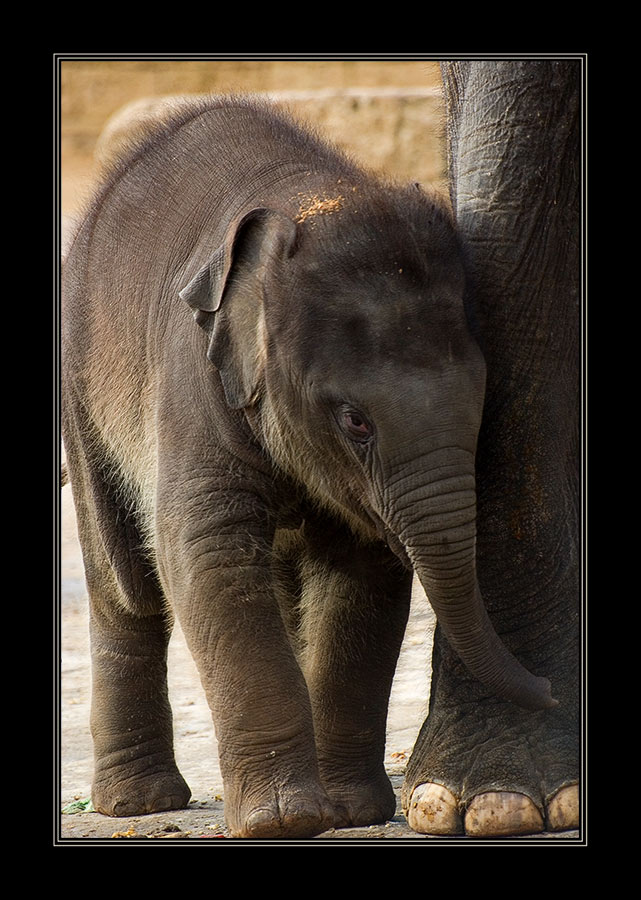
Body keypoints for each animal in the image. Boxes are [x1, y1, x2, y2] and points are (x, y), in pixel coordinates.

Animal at [61, 95, 556, 840]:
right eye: (355, 421)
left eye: (483, 403)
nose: (553, 691)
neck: (313, 199)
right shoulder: (194, 378)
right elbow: (208, 558)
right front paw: (286, 821)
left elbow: (361, 576)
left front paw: (350, 812)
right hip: (82, 394)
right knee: (128, 586)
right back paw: (140, 804)